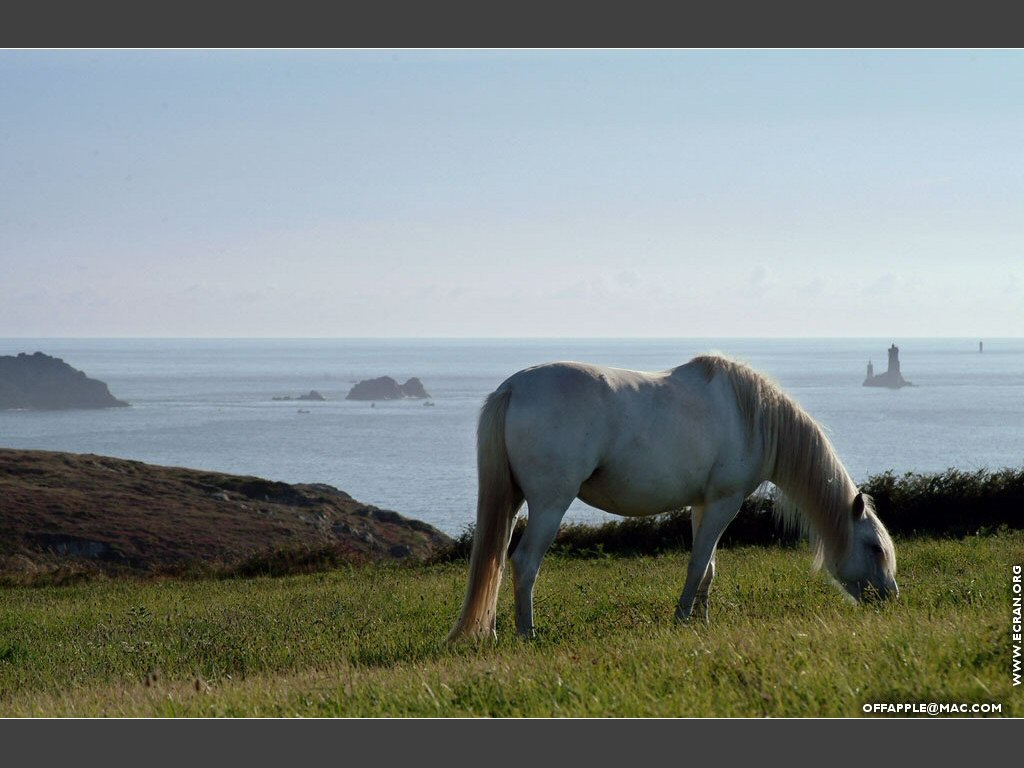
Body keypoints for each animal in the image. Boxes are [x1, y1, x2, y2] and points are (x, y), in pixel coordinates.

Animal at [448, 356, 897, 643]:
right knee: (524, 564)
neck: (753, 415)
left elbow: (709, 568)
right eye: (875, 548)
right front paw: (682, 620)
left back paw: (491, 632)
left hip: (513, 502)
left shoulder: (704, 505)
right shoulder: (725, 503)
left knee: (496, 562)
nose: (891, 598)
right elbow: (697, 566)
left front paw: (702, 621)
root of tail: (512, 388)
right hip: (550, 505)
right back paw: (527, 635)